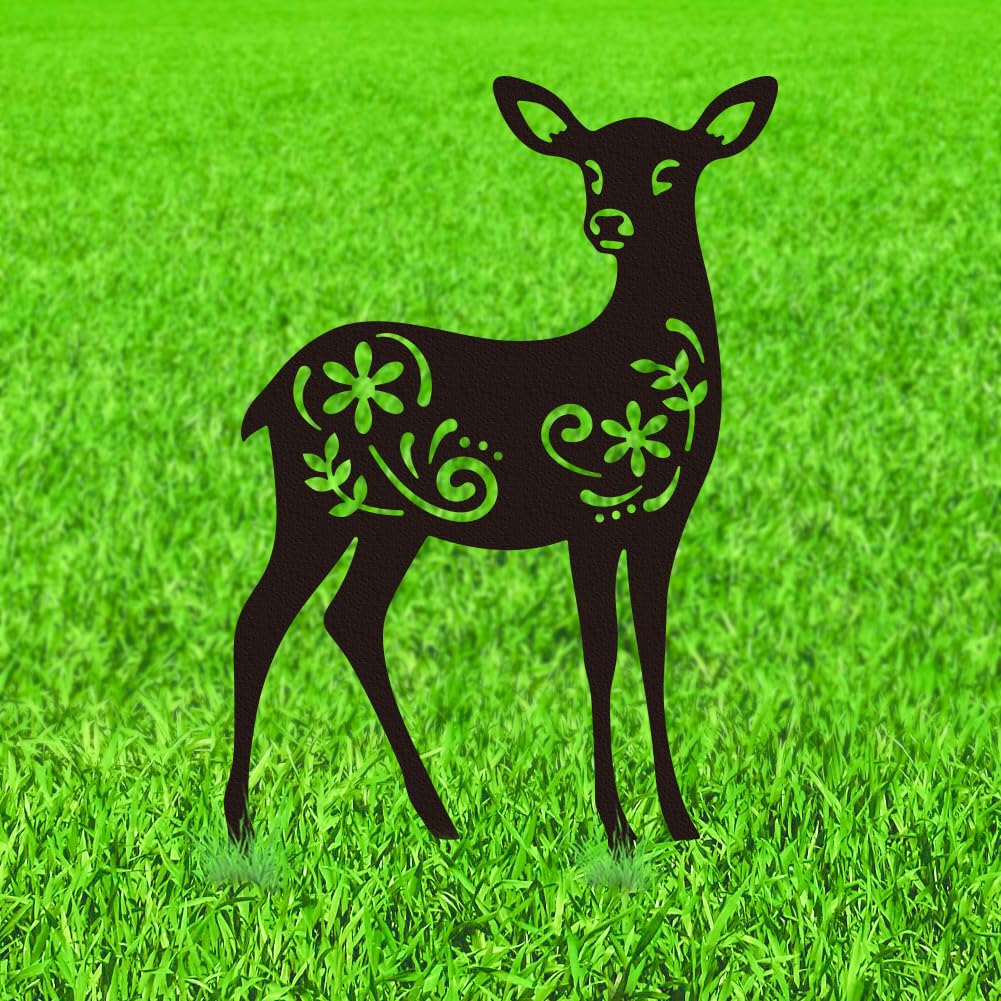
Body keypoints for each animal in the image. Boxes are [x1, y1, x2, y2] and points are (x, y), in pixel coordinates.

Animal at [226, 74, 777, 855]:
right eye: (591, 168)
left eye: (671, 171)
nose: (608, 222)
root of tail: (271, 395)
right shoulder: (591, 511)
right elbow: (601, 650)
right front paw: (616, 827)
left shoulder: (661, 520)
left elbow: (653, 646)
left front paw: (680, 822)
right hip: (320, 494)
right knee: (261, 618)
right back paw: (241, 823)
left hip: (390, 518)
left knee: (349, 616)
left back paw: (438, 818)